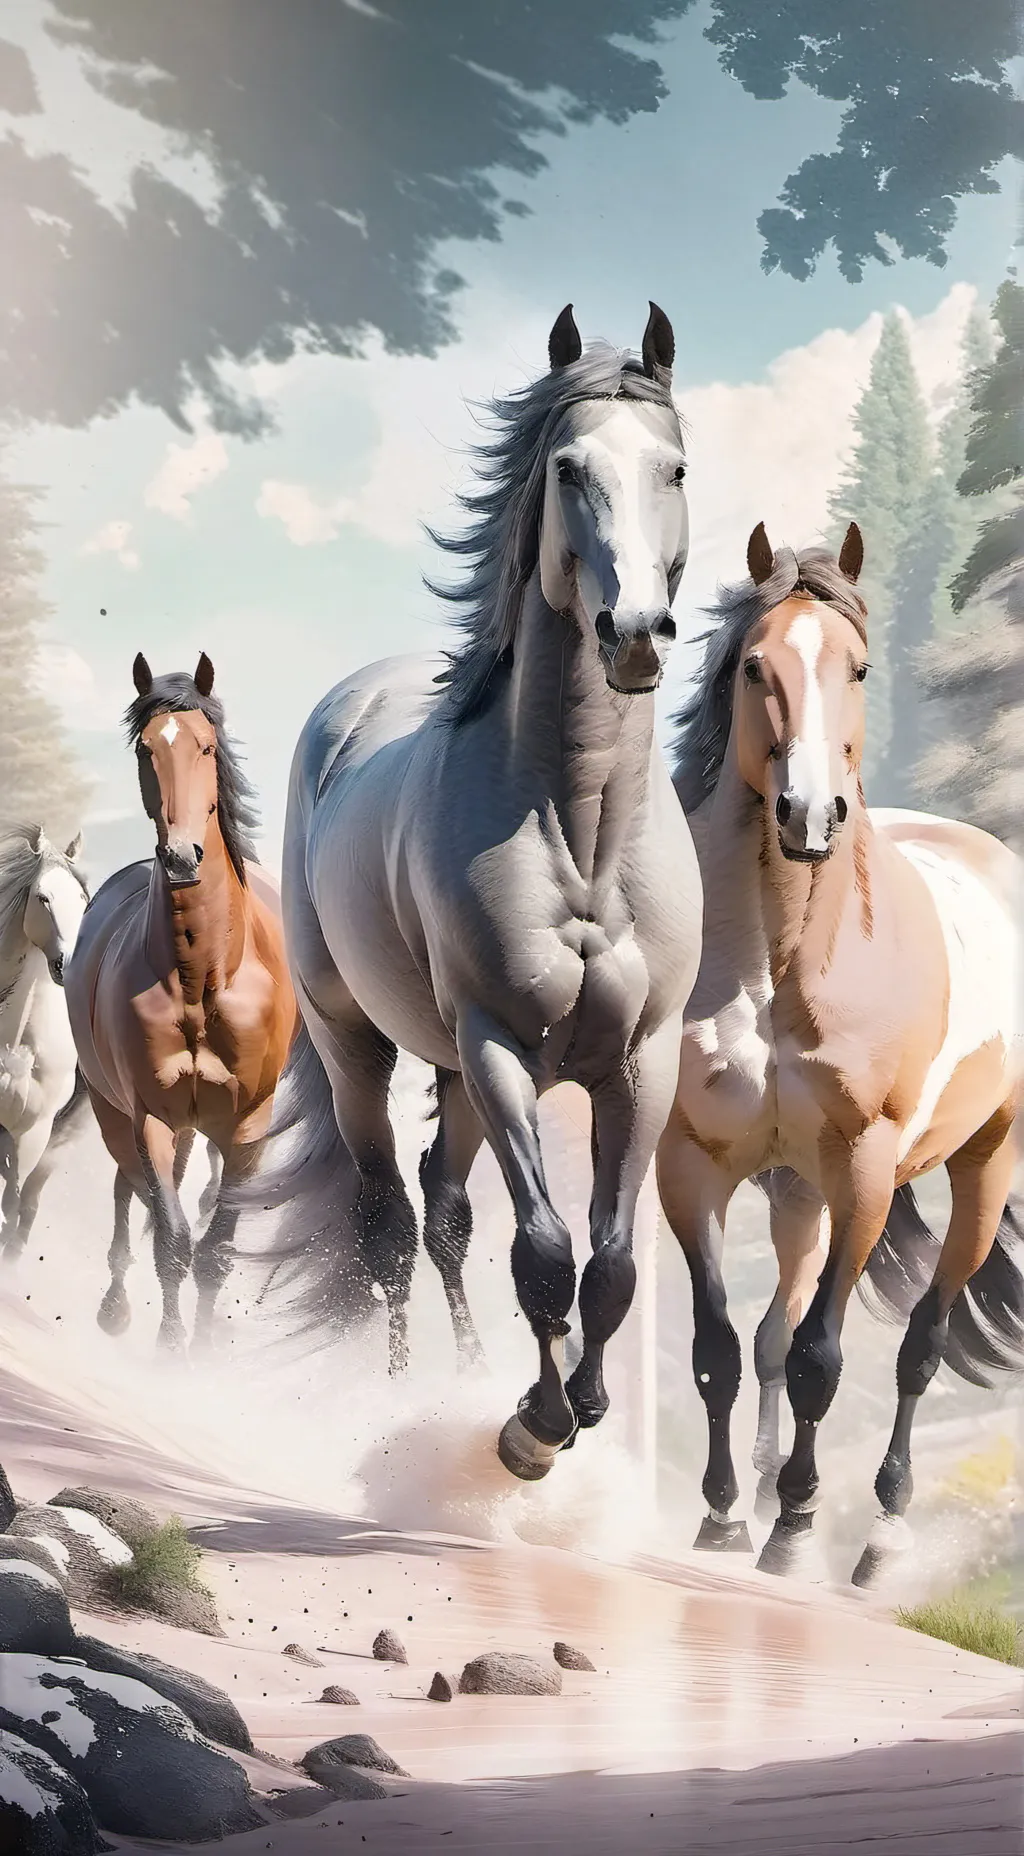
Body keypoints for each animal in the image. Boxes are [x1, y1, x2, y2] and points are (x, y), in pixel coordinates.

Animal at [64, 654, 297, 1352]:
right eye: (147, 749)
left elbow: (215, 1249)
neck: (202, 980)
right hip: (116, 1114)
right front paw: (172, 1351)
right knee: (128, 1191)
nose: (181, 857)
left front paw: (207, 1348)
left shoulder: (246, 1127)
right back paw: (114, 1305)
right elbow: (172, 1241)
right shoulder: (152, 1118)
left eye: (206, 746)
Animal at [244, 303, 702, 1480]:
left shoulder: (642, 1060)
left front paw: (581, 1403)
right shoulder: (500, 1042)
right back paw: (406, 1397)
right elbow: (543, 1250)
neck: (580, 829)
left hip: (449, 1069)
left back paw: (461, 1374)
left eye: (673, 466)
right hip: (364, 1045)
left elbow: (612, 1262)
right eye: (569, 467)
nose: (634, 633)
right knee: (391, 1226)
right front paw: (532, 1428)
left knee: (445, 1210)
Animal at [656, 519, 1023, 1584]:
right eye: (753, 667)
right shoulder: (694, 1162)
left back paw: (882, 1536)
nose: (808, 817)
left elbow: (827, 1356)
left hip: (979, 1168)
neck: (785, 960)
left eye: (857, 668)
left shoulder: (863, 1169)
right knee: (772, 1333)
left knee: (920, 1341)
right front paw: (724, 1516)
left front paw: (795, 1526)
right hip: (795, 1193)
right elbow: (719, 1347)